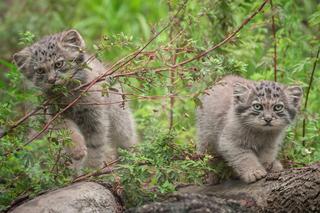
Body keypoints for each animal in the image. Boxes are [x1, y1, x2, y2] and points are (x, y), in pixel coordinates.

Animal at [13, 28, 138, 171]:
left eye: (59, 64)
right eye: (40, 71)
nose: (51, 80)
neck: (69, 95)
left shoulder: (95, 119)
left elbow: (95, 147)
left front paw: (91, 169)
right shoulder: (56, 115)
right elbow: (67, 131)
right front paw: (76, 150)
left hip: (121, 124)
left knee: (126, 141)